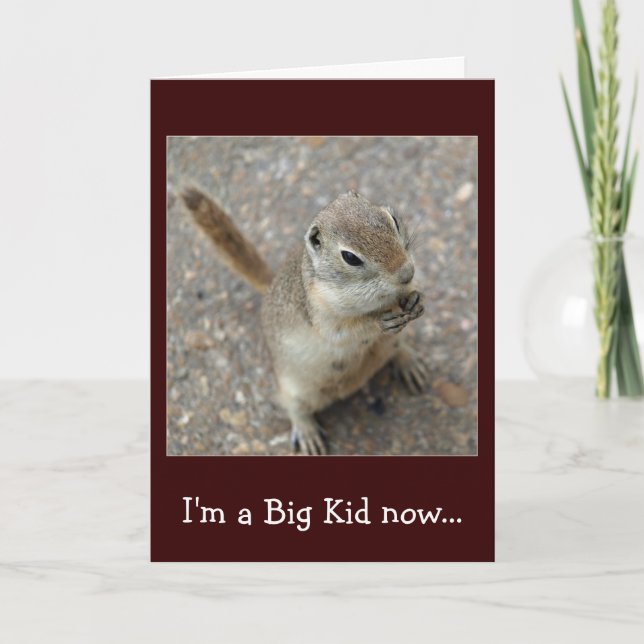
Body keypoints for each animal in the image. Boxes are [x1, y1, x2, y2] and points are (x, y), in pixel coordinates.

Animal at [181, 188, 428, 455]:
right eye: (350, 257)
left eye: (392, 219)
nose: (407, 272)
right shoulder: (321, 311)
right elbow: (344, 332)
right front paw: (380, 322)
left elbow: (412, 293)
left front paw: (417, 300)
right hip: (296, 389)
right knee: (294, 408)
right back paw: (307, 433)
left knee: (396, 349)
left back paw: (409, 363)